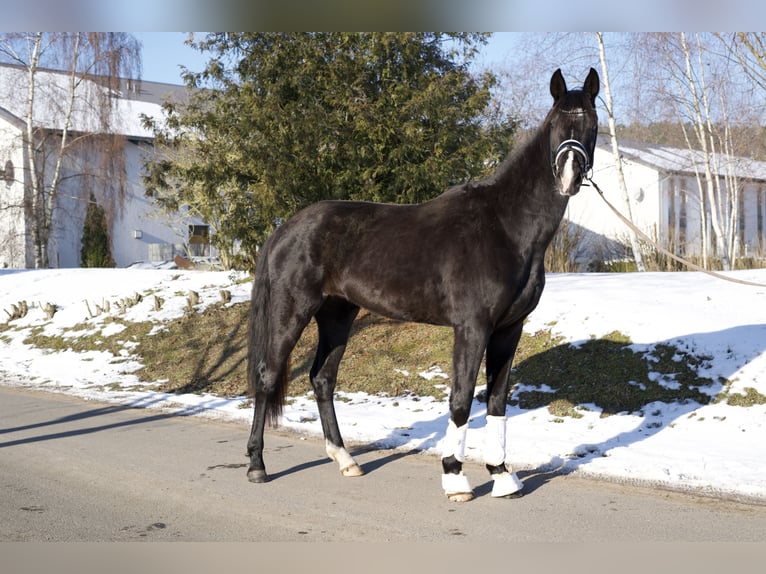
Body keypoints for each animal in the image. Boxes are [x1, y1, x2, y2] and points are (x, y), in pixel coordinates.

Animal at [246, 70, 600, 504]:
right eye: (555, 125)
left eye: (592, 125)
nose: (569, 176)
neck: (505, 226)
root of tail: (286, 229)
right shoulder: (472, 328)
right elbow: (461, 399)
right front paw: (455, 478)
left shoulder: (509, 329)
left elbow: (497, 401)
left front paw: (502, 476)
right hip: (291, 311)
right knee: (267, 376)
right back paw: (257, 466)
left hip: (337, 315)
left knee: (322, 379)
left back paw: (346, 460)